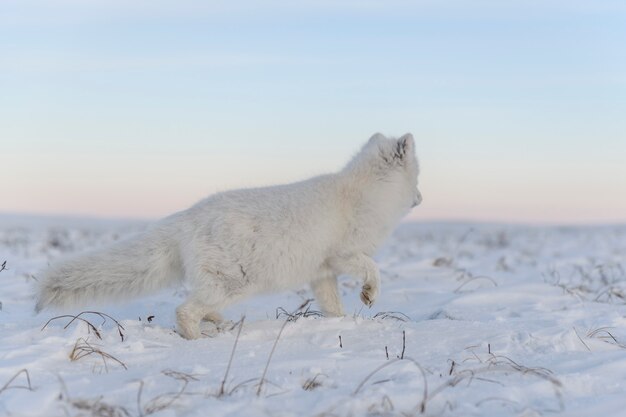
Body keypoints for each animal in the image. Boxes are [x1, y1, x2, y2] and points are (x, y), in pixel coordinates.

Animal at [36, 133, 422, 338]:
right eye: (418, 177)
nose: (420, 198)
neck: (364, 193)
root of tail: (186, 218)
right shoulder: (343, 255)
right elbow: (372, 268)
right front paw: (369, 294)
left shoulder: (321, 273)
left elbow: (332, 306)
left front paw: (341, 325)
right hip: (234, 283)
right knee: (184, 310)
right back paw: (197, 338)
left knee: (199, 307)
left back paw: (218, 324)